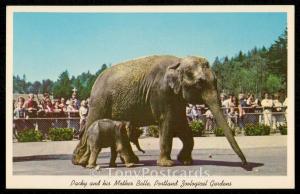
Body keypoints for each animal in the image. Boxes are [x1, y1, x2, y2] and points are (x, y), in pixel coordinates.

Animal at [72, 55, 246, 167]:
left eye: (215, 81)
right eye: (199, 84)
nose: (246, 165)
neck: (179, 62)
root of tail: (94, 83)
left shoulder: (176, 98)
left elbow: (182, 125)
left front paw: (185, 161)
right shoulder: (161, 93)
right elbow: (167, 122)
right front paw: (167, 164)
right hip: (99, 103)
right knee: (90, 124)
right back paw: (80, 161)